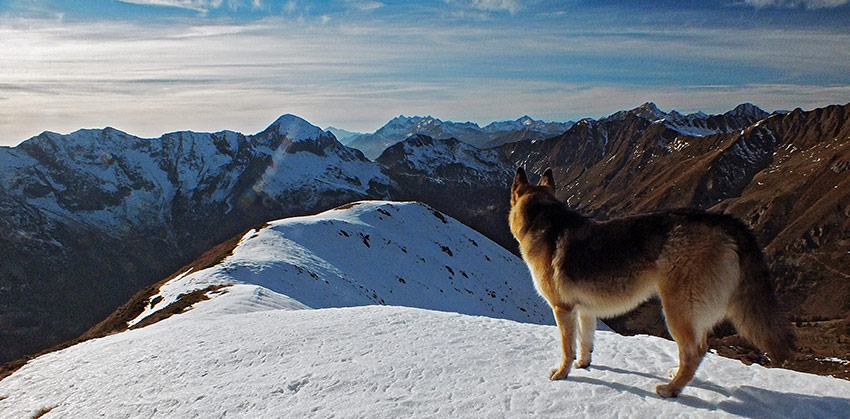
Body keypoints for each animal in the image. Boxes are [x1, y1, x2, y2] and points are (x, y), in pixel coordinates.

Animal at [510, 167, 796, 398]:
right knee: (701, 347)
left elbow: (566, 347)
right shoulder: (584, 311)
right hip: (695, 311)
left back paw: (671, 390)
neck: (543, 220)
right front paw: (583, 364)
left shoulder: (563, 309)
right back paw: (675, 378)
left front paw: (562, 373)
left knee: (693, 352)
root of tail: (725, 221)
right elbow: (585, 342)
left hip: (676, 309)